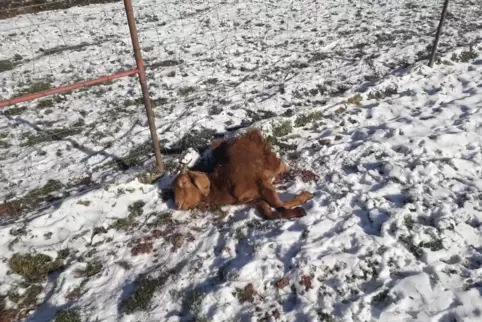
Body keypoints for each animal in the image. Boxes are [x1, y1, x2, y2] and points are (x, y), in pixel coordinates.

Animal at [171, 128, 314, 219]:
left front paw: (305, 196)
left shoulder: (262, 182)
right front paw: (297, 211)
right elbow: (270, 212)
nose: (177, 205)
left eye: (184, 182)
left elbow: (279, 205)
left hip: (271, 160)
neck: (222, 186)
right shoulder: (255, 199)